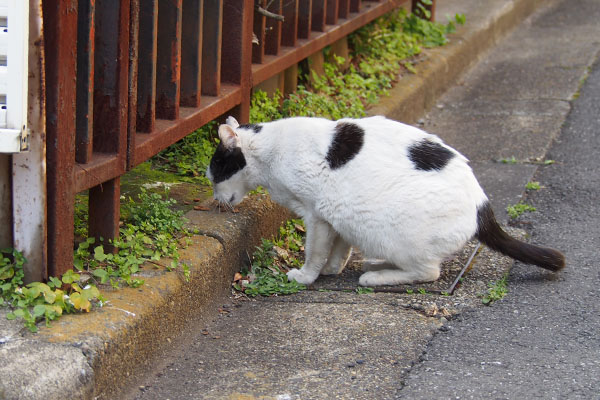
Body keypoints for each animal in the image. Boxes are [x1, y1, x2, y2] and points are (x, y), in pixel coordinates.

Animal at [205, 114, 564, 286]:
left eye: (215, 173)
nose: (215, 198)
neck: (269, 152)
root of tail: (482, 206)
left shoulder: (316, 214)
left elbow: (315, 252)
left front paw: (307, 276)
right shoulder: (335, 215)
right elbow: (339, 248)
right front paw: (332, 270)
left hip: (391, 230)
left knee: (429, 271)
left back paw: (376, 277)